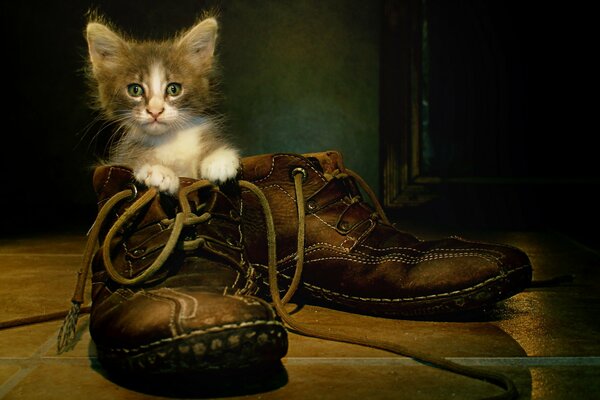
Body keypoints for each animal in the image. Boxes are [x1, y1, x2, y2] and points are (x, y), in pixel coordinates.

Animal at [85, 16, 239, 195]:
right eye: (135, 90)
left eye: (174, 89)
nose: (155, 111)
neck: (169, 139)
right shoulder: (122, 156)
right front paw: (158, 170)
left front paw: (219, 159)